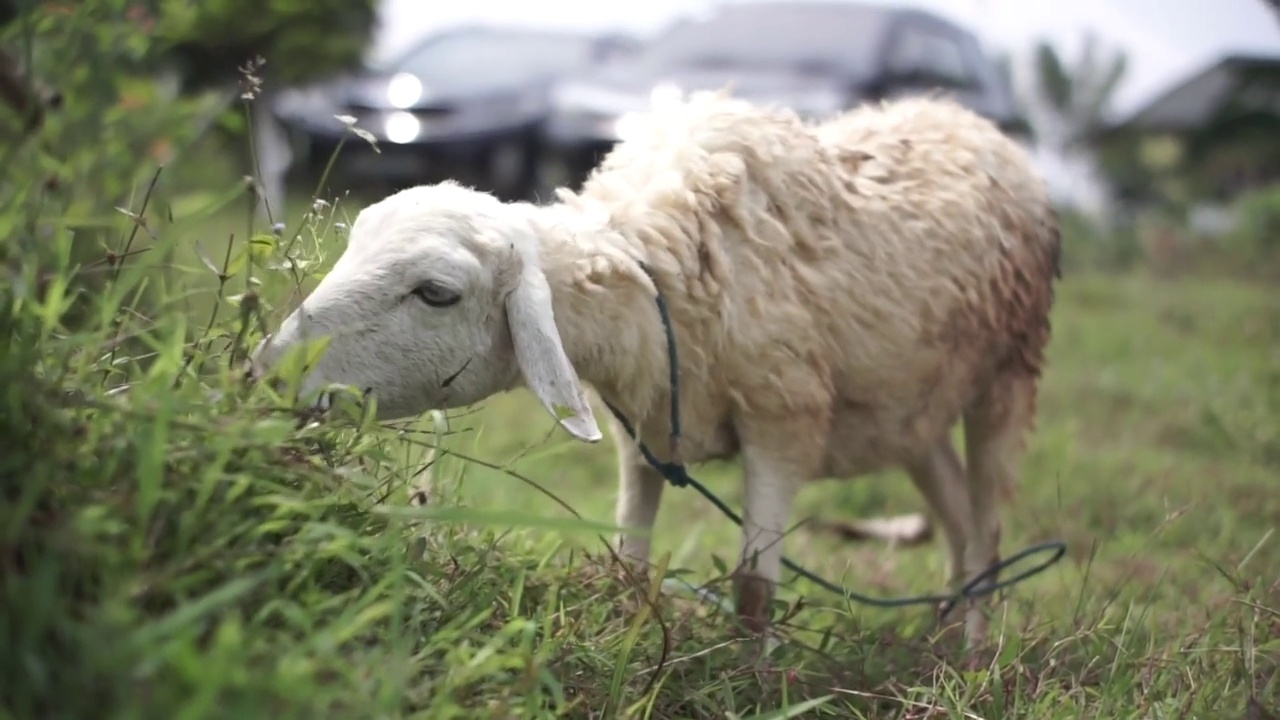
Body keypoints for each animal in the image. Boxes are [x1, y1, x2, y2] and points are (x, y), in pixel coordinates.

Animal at [247, 88, 1059, 645]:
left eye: (437, 293)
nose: (270, 371)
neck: (658, 264)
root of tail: (964, 118)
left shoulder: (783, 418)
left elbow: (753, 590)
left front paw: (751, 680)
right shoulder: (645, 428)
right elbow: (630, 559)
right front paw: (627, 636)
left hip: (1009, 375)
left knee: (989, 528)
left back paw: (971, 656)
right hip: (913, 411)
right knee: (958, 520)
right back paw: (938, 638)